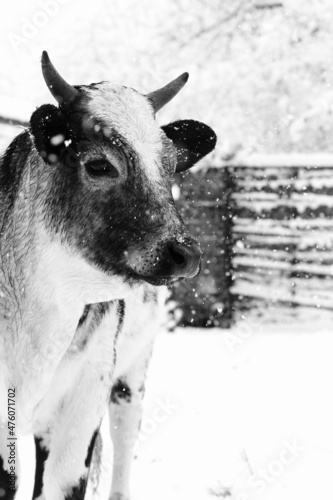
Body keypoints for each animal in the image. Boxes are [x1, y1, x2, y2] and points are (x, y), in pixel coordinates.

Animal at [0, 51, 215, 500]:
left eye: (170, 166)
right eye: (99, 165)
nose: (185, 252)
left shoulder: (78, 414)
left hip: (130, 378)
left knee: (125, 440)